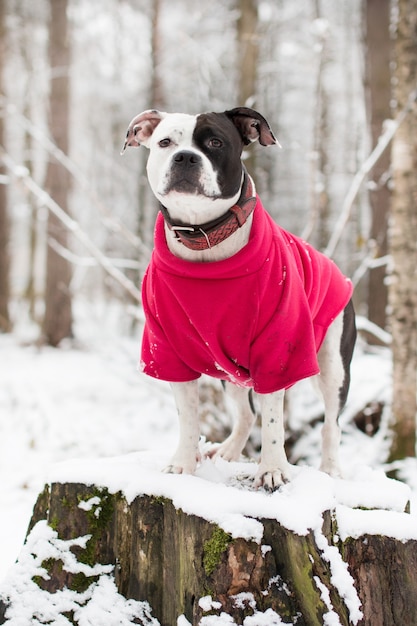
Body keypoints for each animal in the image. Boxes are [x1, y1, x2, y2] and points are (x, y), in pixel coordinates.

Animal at [122, 106, 356, 488]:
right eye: (165, 142)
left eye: (216, 143)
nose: (185, 157)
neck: (205, 239)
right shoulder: (166, 349)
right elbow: (188, 416)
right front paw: (182, 464)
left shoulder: (278, 350)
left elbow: (274, 419)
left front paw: (273, 469)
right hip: (230, 370)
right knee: (246, 413)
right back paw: (229, 452)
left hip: (334, 366)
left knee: (330, 424)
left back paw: (332, 468)